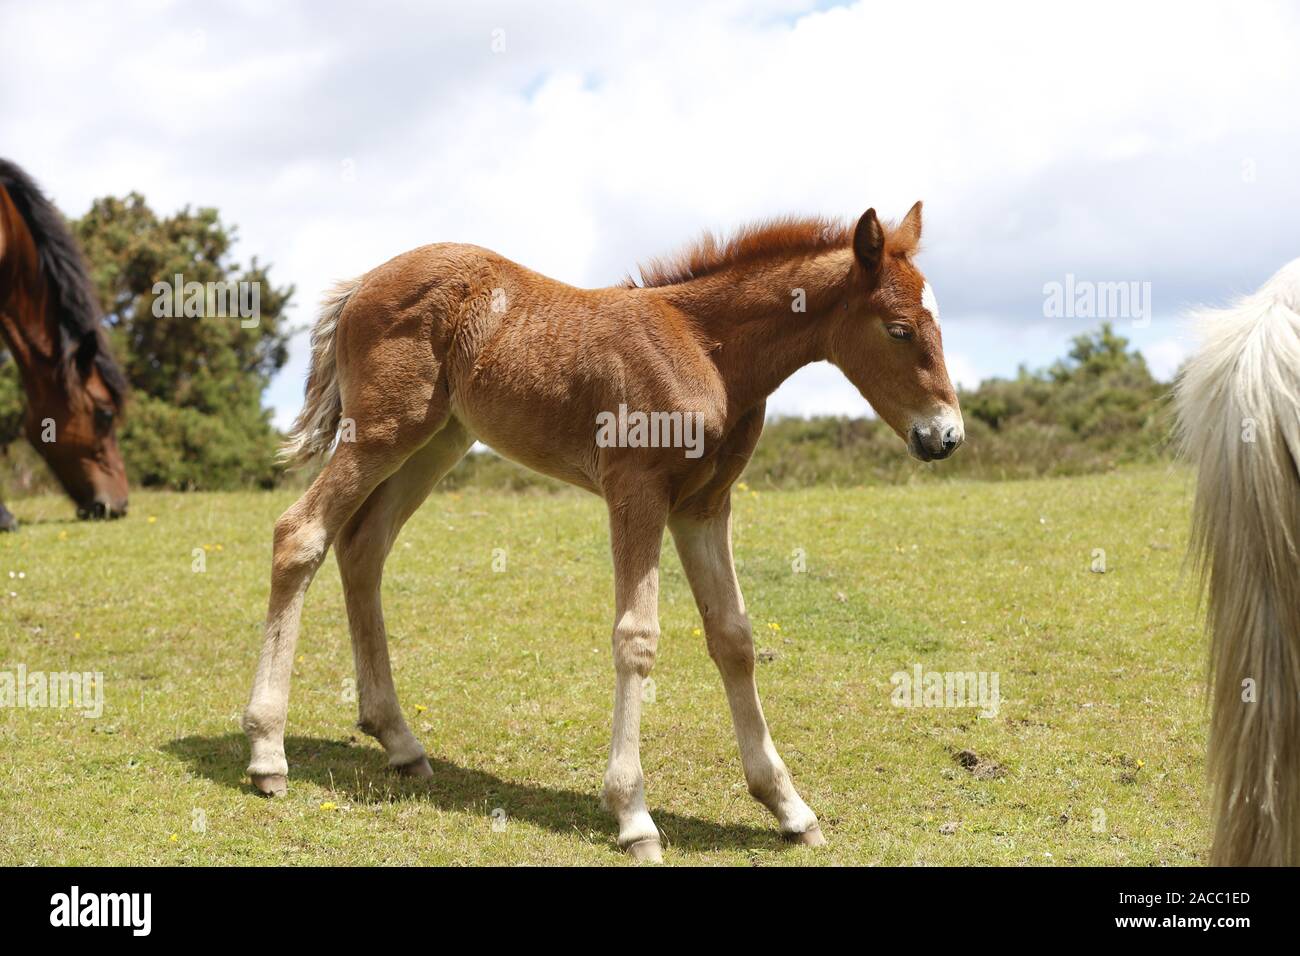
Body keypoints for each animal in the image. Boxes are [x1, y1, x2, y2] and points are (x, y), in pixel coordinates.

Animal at [243, 201, 964, 861]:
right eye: (900, 329)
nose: (946, 436)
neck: (708, 349)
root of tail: (363, 282)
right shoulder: (636, 492)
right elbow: (636, 638)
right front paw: (633, 815)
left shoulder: (705, 506)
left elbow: (733, 636)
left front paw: (789, 807)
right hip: (382, 431)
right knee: (299, 533)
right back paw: (267, 753)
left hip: (438, 439)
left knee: (363, 545)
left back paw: (398, 740)